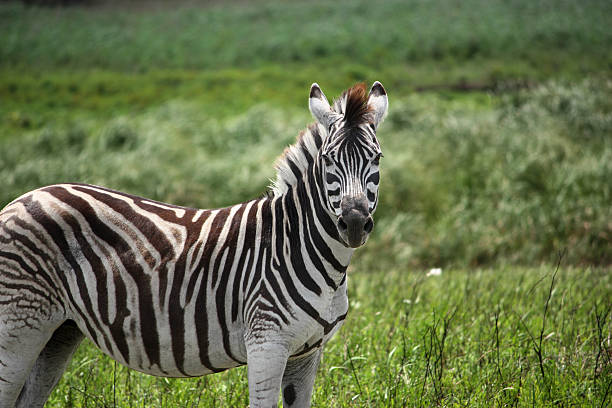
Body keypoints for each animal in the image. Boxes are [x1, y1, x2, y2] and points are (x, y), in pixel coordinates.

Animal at [1, 81, 388, 406]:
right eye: (328, 159)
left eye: (377, 158)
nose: (354, 223)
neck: (303, 246)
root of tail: (22, 198)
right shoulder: (266, 342)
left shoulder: (307, 352)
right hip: (19, 324)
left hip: (59, 330)